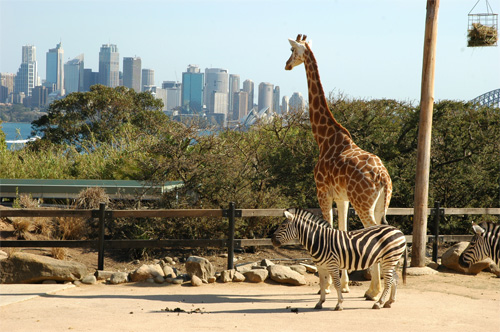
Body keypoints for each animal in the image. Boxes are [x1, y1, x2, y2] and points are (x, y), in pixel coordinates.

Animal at [270, 209, 406, 310]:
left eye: (283, 225)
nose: (272, 240)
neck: (319, 240)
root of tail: (399, 231)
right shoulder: (320, 266)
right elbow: (322, 284)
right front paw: (320, 303)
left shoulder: (332, 265)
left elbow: (336, 284)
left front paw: (339, 304)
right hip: (389, 260)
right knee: (394, 278)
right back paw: (389, 302)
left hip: (389, 259)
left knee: (388, 280)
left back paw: (379, 303)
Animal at [286, 34, 390, 300]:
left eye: (292, 50)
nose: (286, 65)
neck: (324, 138)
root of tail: (383, 178)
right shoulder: (342, 198)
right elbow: (342, 230)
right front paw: (343, 284)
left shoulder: (322, 192)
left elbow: (327, 230)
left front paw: (327, 286)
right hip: (378, 204)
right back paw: (378, 289)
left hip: (363, 203)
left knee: (374, 233)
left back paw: (374, 291)